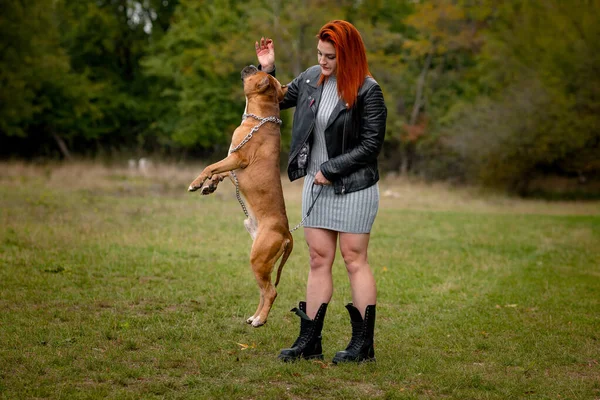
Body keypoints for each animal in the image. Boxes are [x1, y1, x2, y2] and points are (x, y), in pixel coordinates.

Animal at [186, 66, 292, 328]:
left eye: (257, 72)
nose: (253, 65)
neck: (259, 117)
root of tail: (286, 234)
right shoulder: (232, 164)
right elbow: (219, 172)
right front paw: (209, 186)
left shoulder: (236, 158)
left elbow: (210, 166)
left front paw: (196, 183)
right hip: (261, 263)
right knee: (264, 291)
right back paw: (255, 316)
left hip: (259, 259)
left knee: (271, 292)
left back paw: (260, 320)